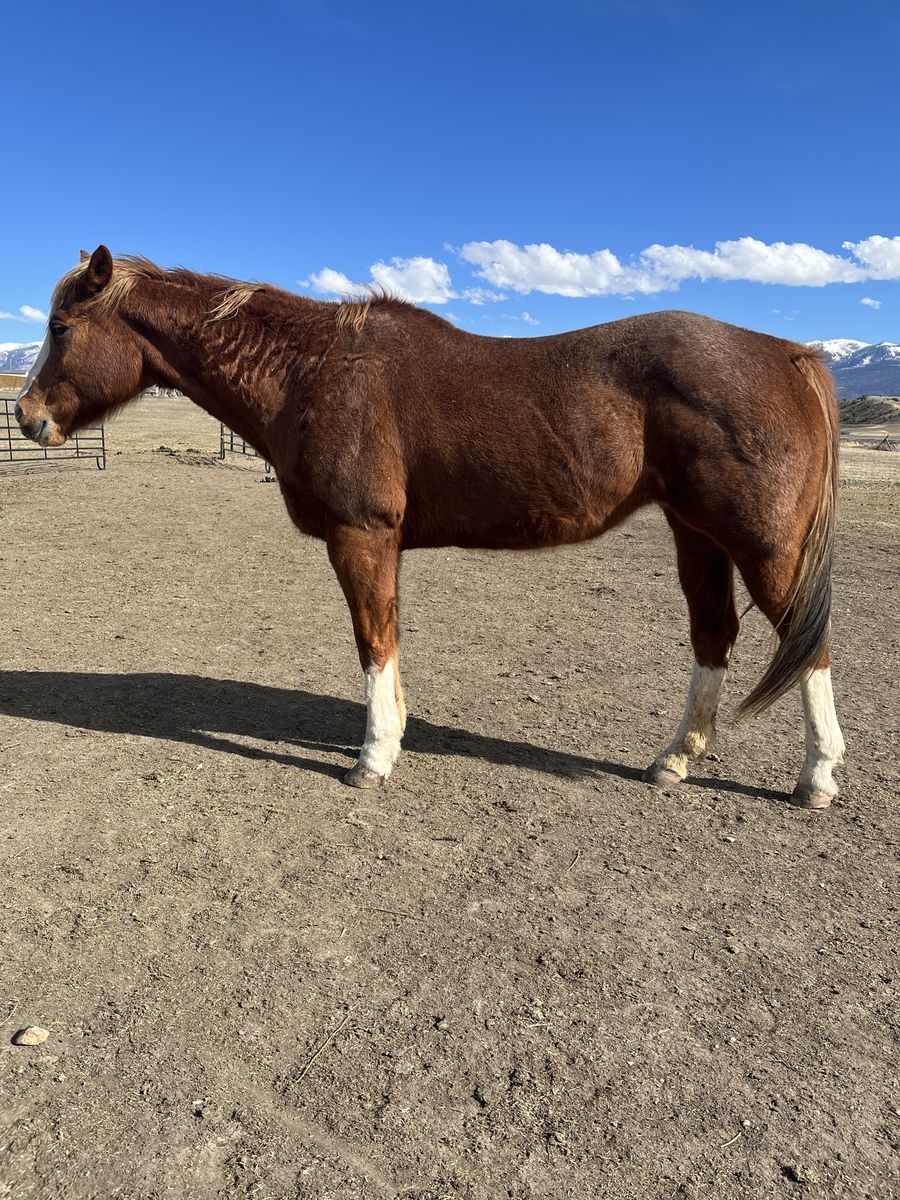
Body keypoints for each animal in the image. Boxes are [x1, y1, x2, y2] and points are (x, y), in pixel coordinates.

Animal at [16, 246, 844, 807]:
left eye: (60, 325)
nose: (26, 417)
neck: (315, 370)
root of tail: (787, 353)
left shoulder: (362, 536)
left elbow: (373, 640)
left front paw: (373, 756)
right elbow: (386, 637)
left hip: (764, 547)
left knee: (807, 646)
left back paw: (816, 777)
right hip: (696, 536)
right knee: (714, 637)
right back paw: (675, 759)